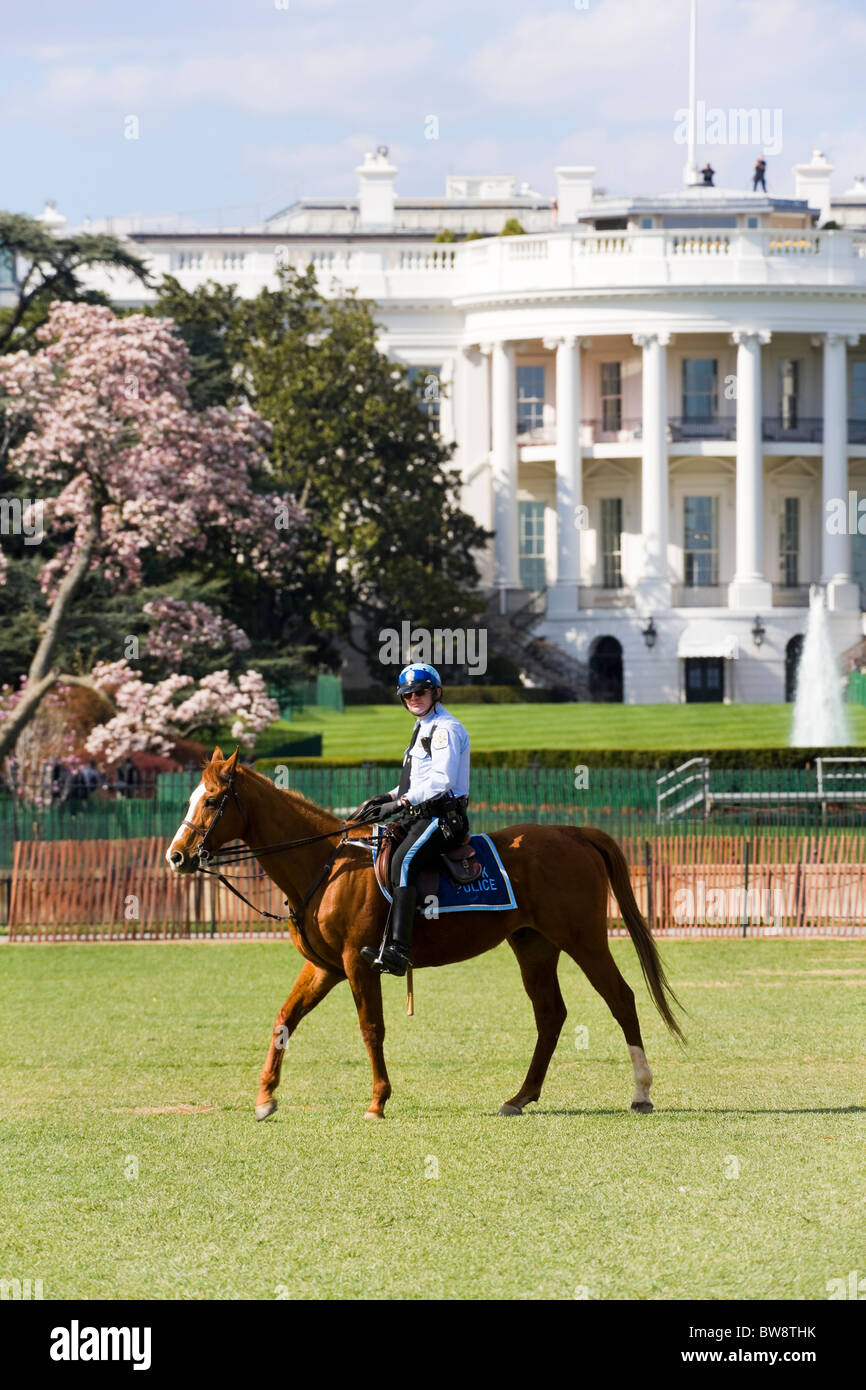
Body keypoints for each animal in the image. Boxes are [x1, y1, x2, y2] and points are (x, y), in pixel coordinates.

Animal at [167, 750, 683, 1117]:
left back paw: (641, 1092)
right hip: (535, 946)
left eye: (211, 800)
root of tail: (574, 833)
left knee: (621, 998)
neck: (329, 865)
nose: (176, 856)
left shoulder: (356, 962)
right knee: (551, 1014)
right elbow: (284, 1019)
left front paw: (378, 1100)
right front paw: (265, 1097)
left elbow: (371, 1028)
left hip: (584, 940)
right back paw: (520, 1097)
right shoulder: (324, 967)